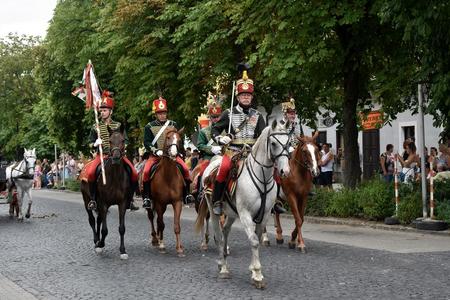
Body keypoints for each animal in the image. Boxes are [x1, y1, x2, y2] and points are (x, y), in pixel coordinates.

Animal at [80, 131, 132, 260]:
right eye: (110, 140)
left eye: (123, 140)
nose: (116, 158)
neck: (115, 177)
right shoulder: (103, 203)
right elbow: (104, 229)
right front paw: (100, 245)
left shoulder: (122, 203)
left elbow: (121, 228)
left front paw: (122, 250)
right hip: (87, 200)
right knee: (92, 220)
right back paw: (96, 241)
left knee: (99, 220)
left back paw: (98, 240)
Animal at [145, 127, 185, 256]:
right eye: (168, 138)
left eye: (179, 139)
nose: (174, 153)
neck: (168, 177)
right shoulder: (159, 202)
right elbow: (161, 223)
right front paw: (162, 245)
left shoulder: (177, 202)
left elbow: (177, 225)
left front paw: (179, 248)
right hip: (152, 203)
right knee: (152, 218)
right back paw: (155, 239)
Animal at [195, 119, 290, 288]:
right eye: (273, 143)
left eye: (289, 142)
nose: (284, 171)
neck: (262, 177)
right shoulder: (246, 214)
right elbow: (254, 241)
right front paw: (257, 274)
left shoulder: (265, 214)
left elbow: (256, 238)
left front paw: (253, 270)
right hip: (213, 210)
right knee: (218, 235)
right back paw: (223, 267)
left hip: (232, 213)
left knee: (225, 230)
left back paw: (224, 259)